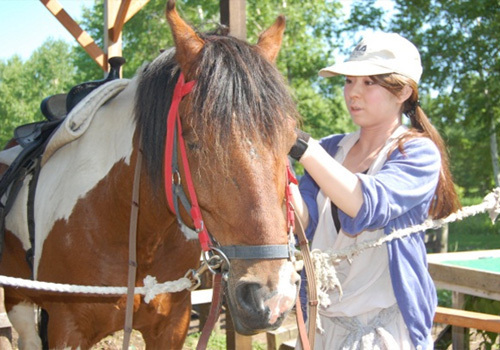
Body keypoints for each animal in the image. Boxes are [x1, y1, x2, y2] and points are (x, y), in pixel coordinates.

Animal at [0, 1, 300, 348]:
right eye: (194, 140)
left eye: (291, 140)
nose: (272, 297)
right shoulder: (66, 328)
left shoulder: (171, 325)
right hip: (19, 301)